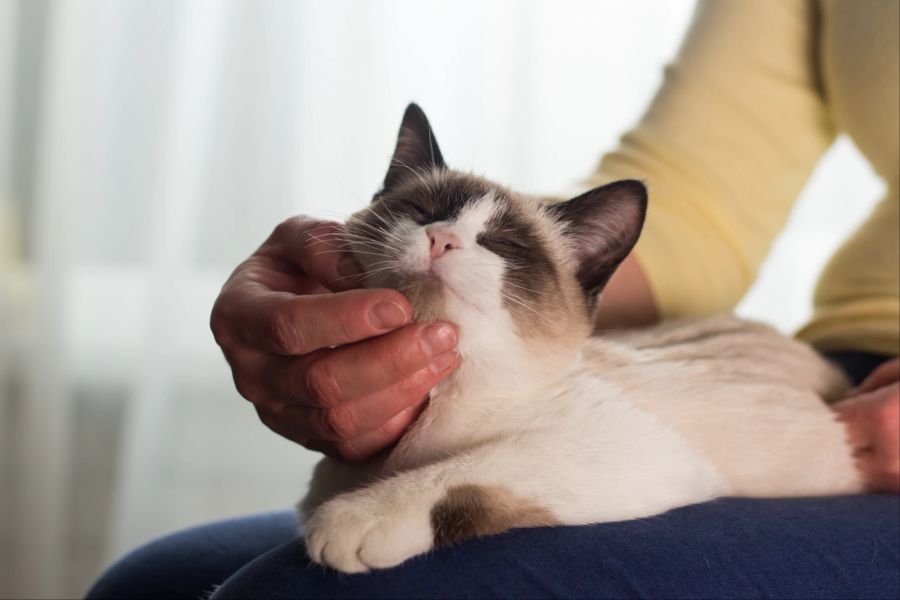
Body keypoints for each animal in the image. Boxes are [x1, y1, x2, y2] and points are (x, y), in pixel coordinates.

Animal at [296, 105, 856, 576]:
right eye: (420, 211)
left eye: (504, 245)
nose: (441, 239)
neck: (440, 396)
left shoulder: (615, 448)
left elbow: (463, 471)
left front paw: (352, 519)